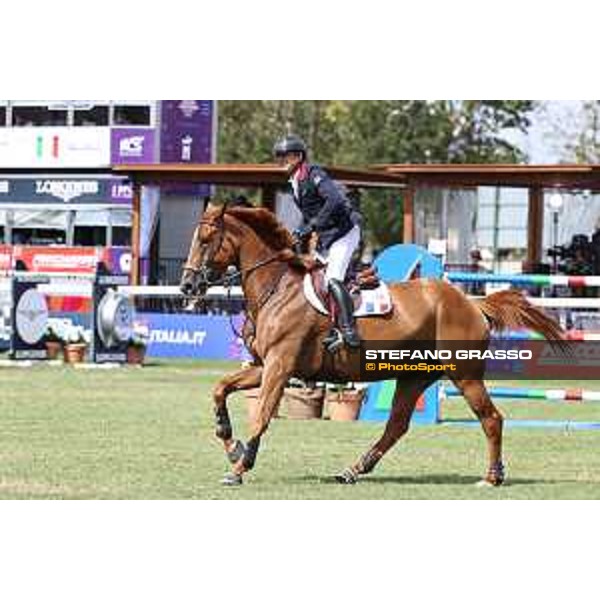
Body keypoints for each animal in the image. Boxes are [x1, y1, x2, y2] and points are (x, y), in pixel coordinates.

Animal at [178, 202, 564, 488]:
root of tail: (471, 302)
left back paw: (492, 477)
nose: (187, 286)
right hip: (414, 376)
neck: (278, 287)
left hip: (464, 375)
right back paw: (353, 470)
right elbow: (220, 389)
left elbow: (260, 415)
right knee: (397, 426)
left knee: (491, 419)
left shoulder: (280, 365)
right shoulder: (265, 365)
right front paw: (231, 443)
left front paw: (239, 468)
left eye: (207, 238)